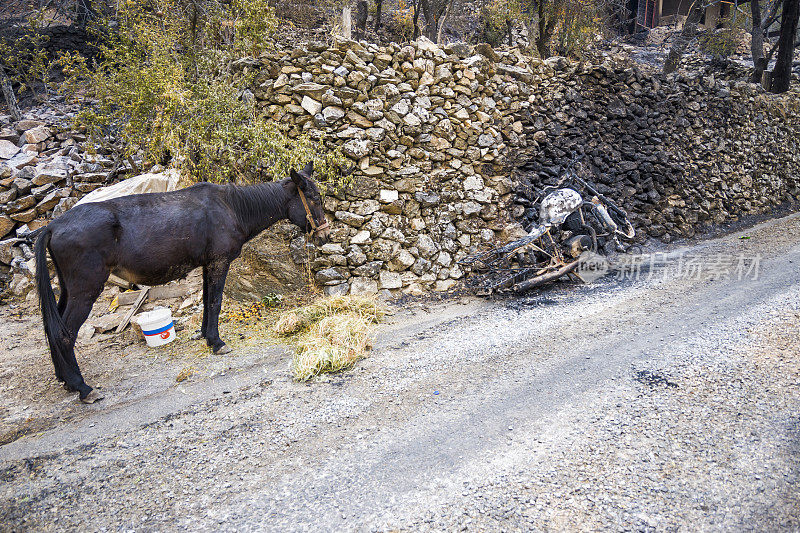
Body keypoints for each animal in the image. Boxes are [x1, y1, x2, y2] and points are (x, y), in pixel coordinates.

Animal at [34, 162, 328, 404]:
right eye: (314, 199)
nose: (325, 236)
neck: (233, 207)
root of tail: (52, 226)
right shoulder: (220, 262)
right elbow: (215, 301)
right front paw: (217, 343)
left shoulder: (209, 264)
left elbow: (208, 301)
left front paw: (207, 336)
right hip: (86, 288)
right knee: (64, 333)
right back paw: (82, 388)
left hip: (69, 288)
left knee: (52, 327)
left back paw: (66, 381)